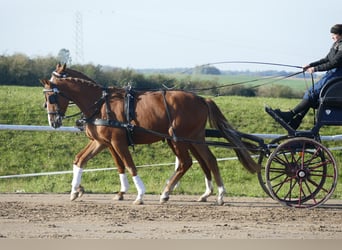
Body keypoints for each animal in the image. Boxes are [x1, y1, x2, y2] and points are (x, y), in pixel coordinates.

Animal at [40, 63, 260, 204]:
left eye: (51, 96)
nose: (53, 121)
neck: (102, 104)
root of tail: (200, 99)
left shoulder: (117, 142)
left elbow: (129, 165)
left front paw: (139, 194)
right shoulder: (102, 142)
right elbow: (83, 160)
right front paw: (77, 190)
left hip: (179, 138)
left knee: (189, 162)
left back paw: (174, 193)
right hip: (192, 138)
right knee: (207, 160)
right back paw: (211, 194)